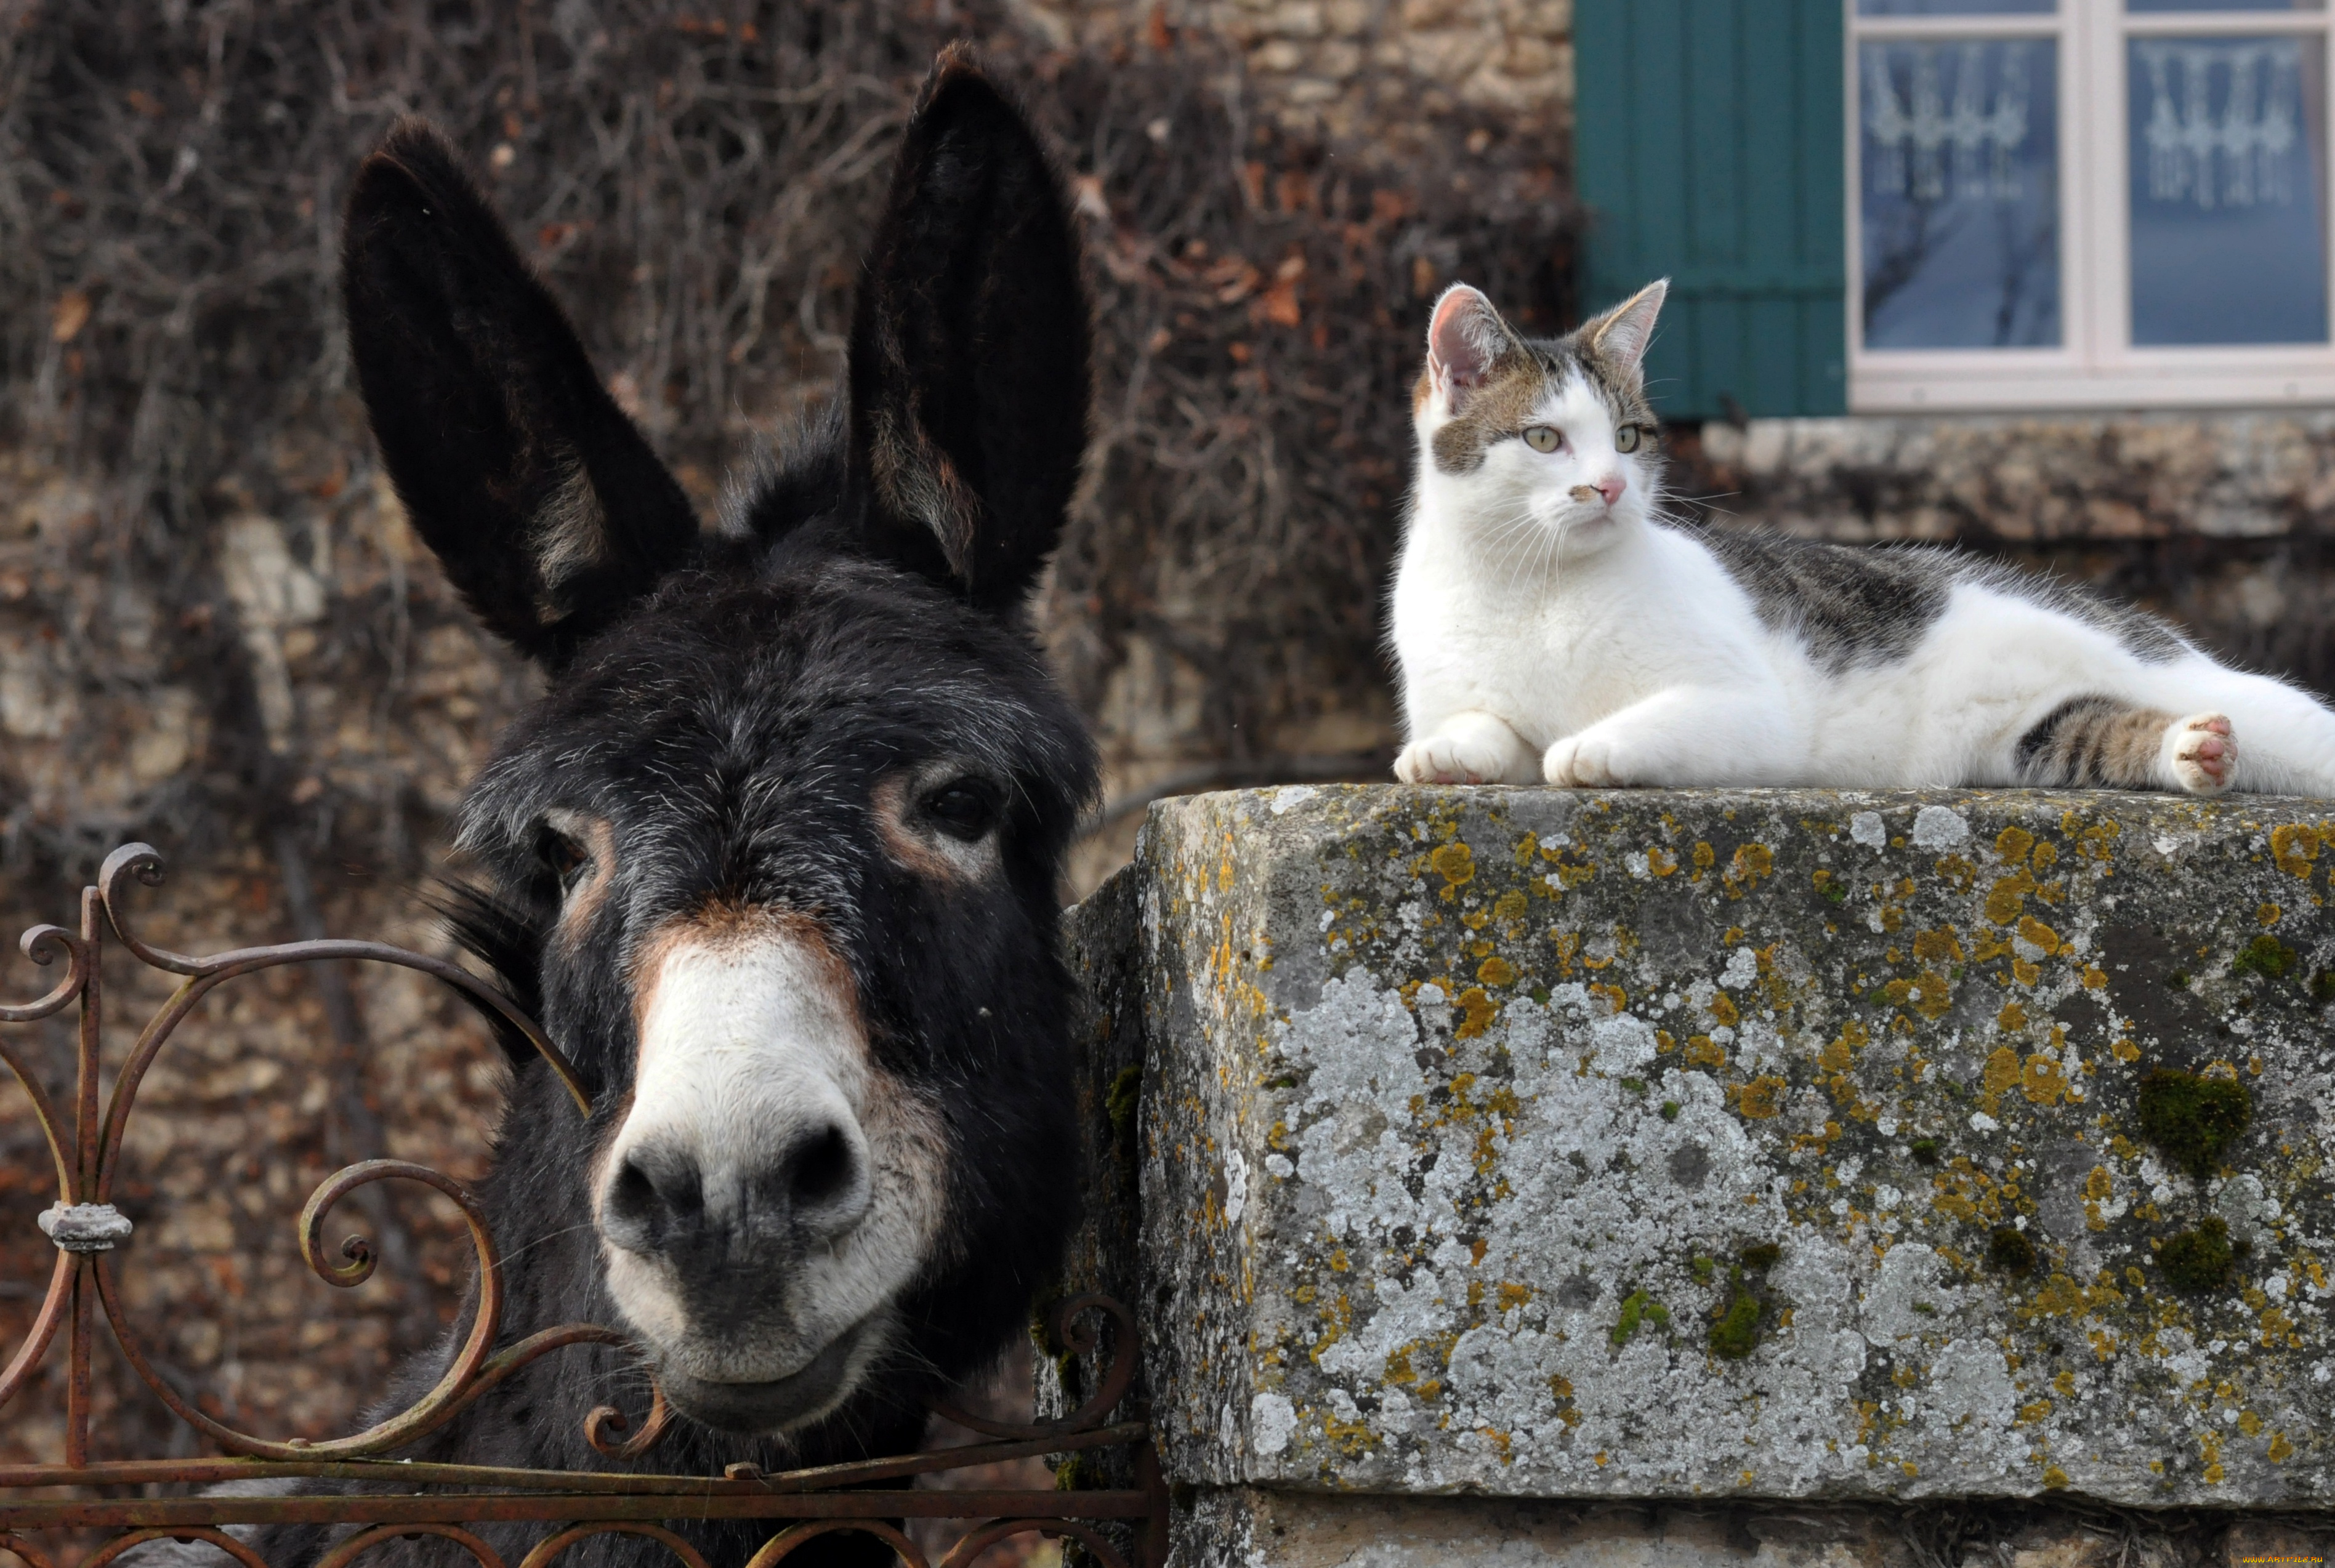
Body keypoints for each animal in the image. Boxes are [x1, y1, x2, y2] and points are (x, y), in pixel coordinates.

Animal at [1382, 278, 2335, 802]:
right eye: (1545, 439)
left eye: (1627, 437)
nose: (1611, 487)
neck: (1530, 585)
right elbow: (1483, 727)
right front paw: (1446, 752)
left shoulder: (1751, 708)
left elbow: (1631, 724)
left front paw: (1590, 746)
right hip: (2029, 741)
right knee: (2105, 733)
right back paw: (2196, 752)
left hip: (2186, 675)